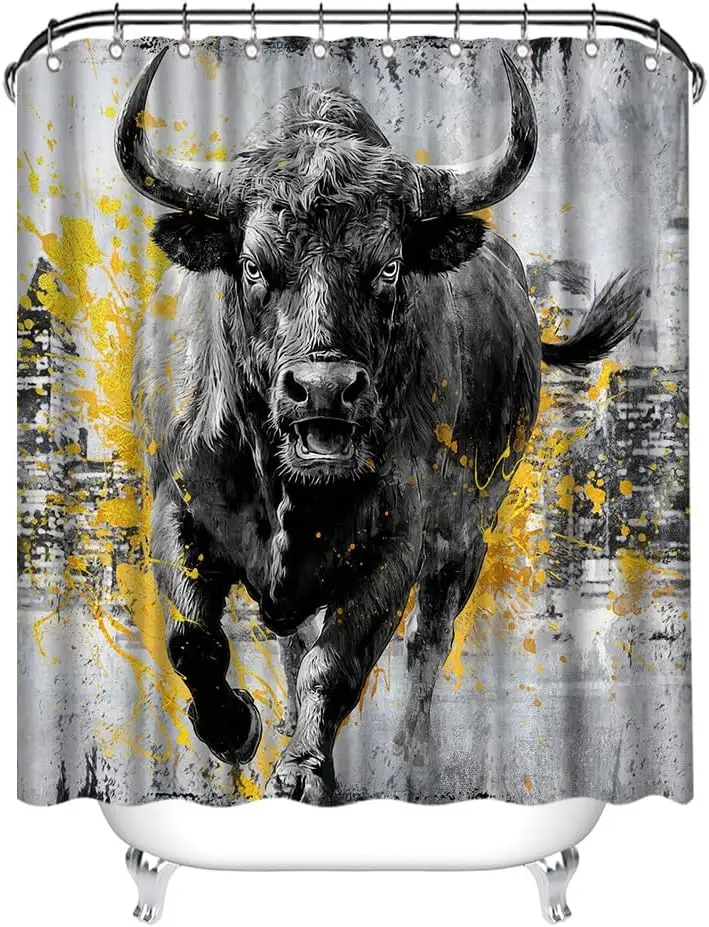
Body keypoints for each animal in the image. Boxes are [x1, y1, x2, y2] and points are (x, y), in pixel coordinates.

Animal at [115, 47, 643, 803]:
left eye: (389, 266)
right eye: (252, 265)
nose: (324, 390)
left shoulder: (397, 546)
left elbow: (336, 664)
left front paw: (303, 770)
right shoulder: (175, 508)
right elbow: (194, 640)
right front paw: (236, 730)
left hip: (469, 538)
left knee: (427, 644)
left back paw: (411, 759)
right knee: (290, 642)